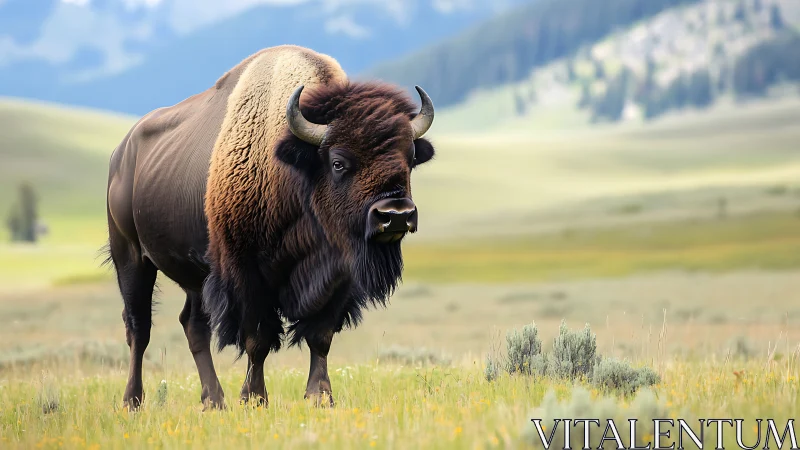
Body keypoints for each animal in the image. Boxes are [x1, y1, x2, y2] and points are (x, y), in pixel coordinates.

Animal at [105, 45, 435, 409]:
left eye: (409, 160)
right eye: (338, 162)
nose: (396, 215)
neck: (294, 171)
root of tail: (122, 153)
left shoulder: (338, 276)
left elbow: (320, 336)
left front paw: (320, 397)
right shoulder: (245, 274)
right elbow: (257, 339)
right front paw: (254, 398)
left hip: (195, 278)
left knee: (193, 325)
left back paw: (214, 401)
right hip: (131, 257)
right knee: (139, 327)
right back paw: (133, 401)